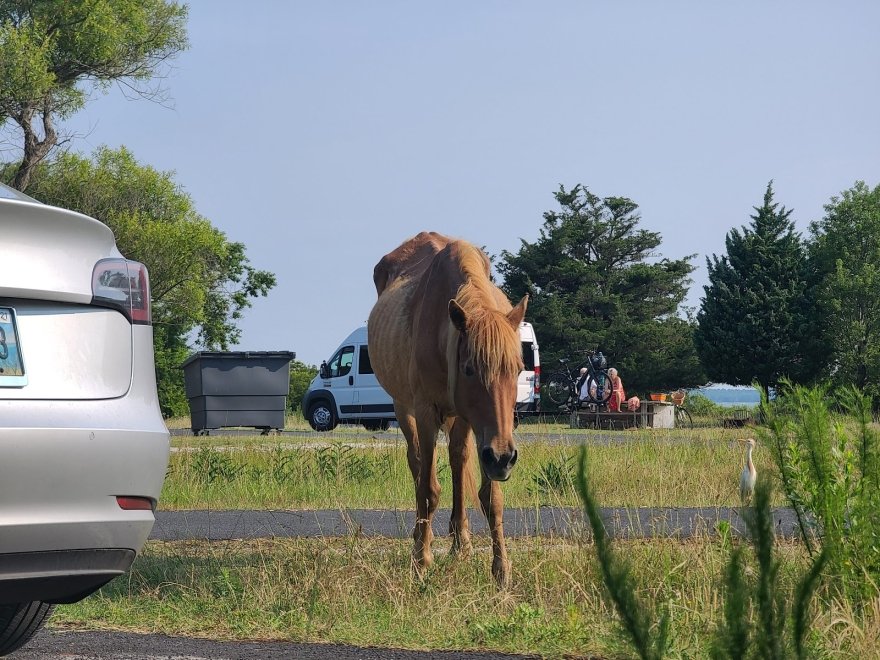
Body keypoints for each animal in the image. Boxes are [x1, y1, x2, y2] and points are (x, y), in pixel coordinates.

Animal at [366, 232, 524, 588]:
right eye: (468, 369)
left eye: (518, 369)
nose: (503, 458)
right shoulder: (426, 412)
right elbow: (428, 488)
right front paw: (421, 561)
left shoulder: (474, 424)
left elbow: (489, 496)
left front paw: (500, 569)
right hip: (404, 408)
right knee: (417, 465)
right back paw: (420, 536)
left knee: (456, 462)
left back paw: (460, 542)